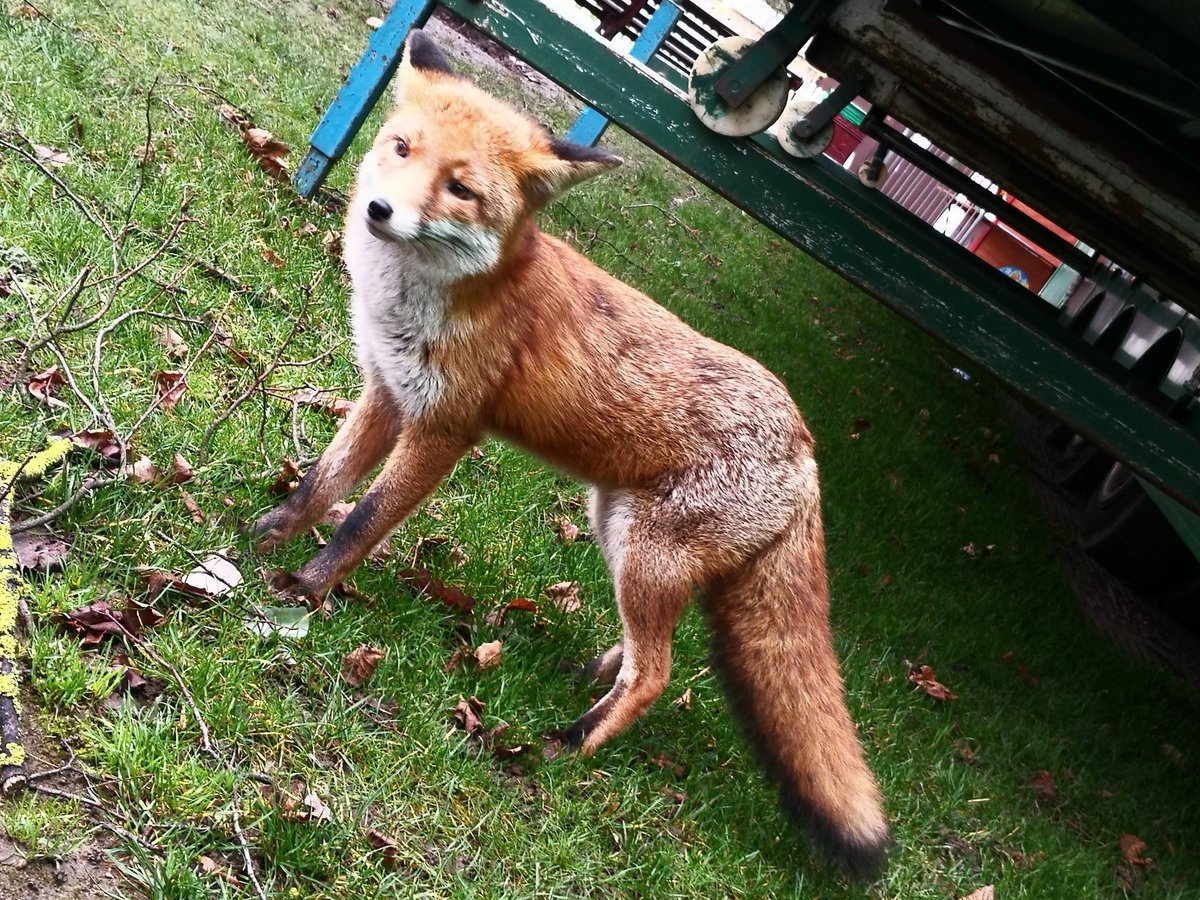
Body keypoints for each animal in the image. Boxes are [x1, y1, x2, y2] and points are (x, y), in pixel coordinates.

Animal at [253, 30, 891, 876]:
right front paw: (268, 535)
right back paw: (587, 678)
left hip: (646, 556)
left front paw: (306, 590)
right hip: (618, 531)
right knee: (646, 649)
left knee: (658, 673)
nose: (379, 211)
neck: (434, 296)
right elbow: (322, 484)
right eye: (401, 148)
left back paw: (570, 742)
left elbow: (362, 519)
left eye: (460, 189)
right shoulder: (387, 393)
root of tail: (807, 445)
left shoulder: (443, 430)